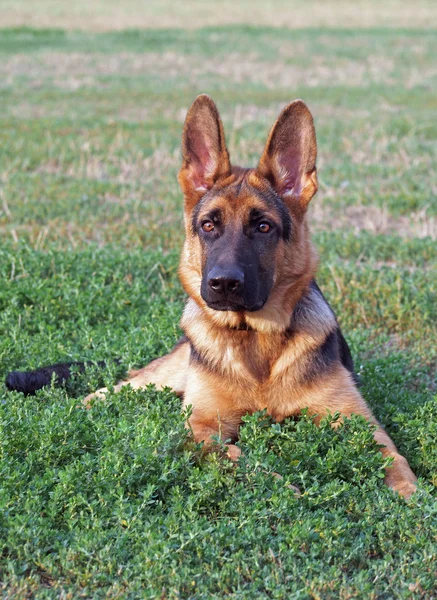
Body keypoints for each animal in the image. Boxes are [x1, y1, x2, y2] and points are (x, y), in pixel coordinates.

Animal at [6, 95, 416, 496]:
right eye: (208, 225)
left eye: (263, 227)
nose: (223, 283)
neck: (254, 339)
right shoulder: (202, 427)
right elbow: (243, 460)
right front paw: (285, 489)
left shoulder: (359, 420)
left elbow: (395, 459)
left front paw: (412, 496)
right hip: (153, 380)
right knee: (105, 391)